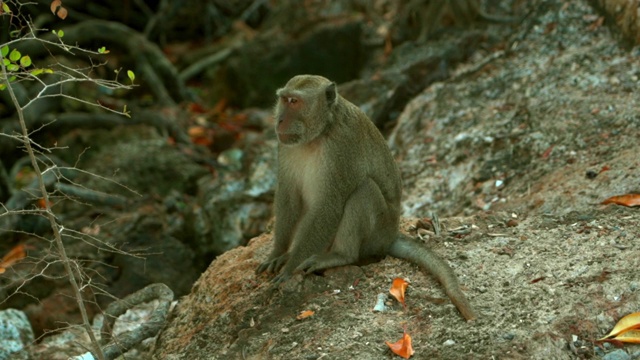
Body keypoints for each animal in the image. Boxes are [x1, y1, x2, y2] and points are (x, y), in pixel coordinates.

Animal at [255, 74, 476, 320]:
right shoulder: (285, 147)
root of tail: (390, 235)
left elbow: (329, 206)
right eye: (283, 100)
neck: (320, 133)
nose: (280, 120)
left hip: (377, 232)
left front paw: (290, 268)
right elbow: (289, 197)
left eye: (294, 101)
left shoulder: (342, 148)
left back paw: (341, 255)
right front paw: (278, 254)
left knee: (364, 191)